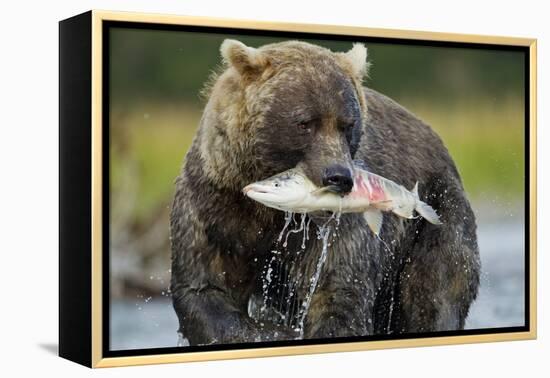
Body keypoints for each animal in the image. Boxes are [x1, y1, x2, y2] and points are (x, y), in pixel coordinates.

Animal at [170, 39, 480, 346]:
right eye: (305, 123)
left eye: (348, 124)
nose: (339, 177)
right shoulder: (215, 206)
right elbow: (206, 288)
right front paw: (273, 330)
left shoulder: (335, 228)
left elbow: (338, 292)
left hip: (436, 213)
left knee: (434, 290)